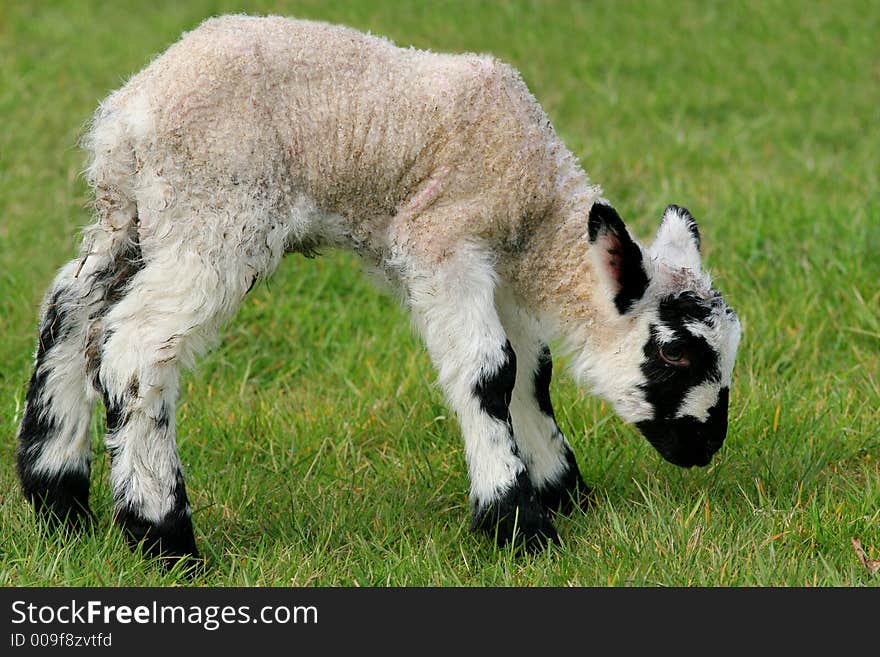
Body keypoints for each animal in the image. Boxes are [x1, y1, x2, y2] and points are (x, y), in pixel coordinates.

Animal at [17, 12, 740, 560]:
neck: (535, 205)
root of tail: (126, 117)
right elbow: (489, 372)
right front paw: (516, 522)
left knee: (70, 309)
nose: (706, 447)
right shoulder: (443, 241)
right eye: (675, 353)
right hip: (214, 212)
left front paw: (563, 490)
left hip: (136, 217)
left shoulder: (500, 264)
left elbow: (532, 374)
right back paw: (163, 537)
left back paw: (57, 496)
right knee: (137, 350)